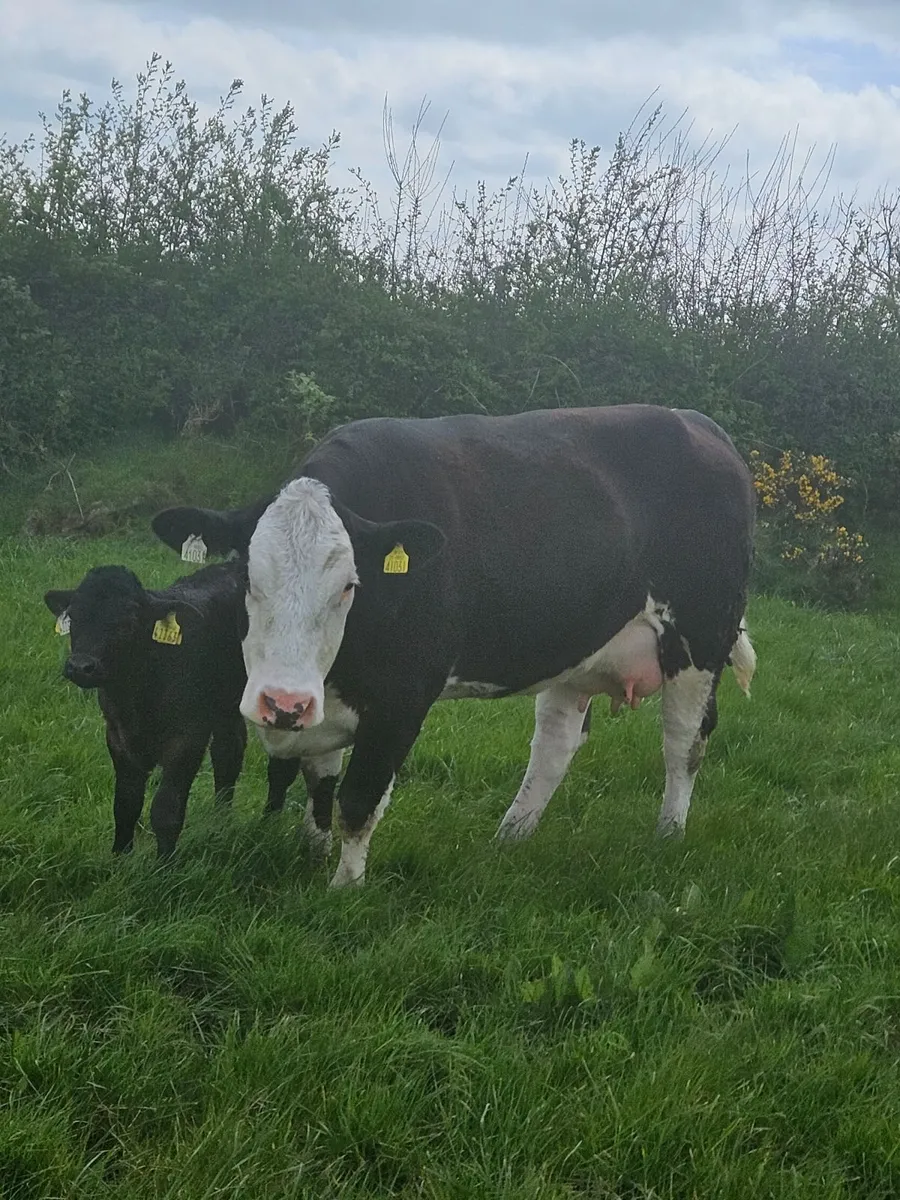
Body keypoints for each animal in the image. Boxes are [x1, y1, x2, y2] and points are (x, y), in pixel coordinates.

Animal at [43, 563, 317, 857]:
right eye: (73, 617)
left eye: (128, 621)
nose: (81, 666)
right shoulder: (118, 737)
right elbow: (125, 804)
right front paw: (119, 857)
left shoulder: (187, 739)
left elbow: (166, 810)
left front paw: (164, 864)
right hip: (225, 705)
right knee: (228, 756)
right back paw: (220, 822)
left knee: (281, 767)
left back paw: (268, 824)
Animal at [151, 404, 757, 887]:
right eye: (247, 576)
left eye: (348, 586)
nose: (282, 702)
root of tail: (700, 425)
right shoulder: (322, 701)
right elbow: (319, 782)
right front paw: (311, 852)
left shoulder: (403, 698)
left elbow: (358, 799)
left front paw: (343, 889)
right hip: (577, 646)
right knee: (556, 742)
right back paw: (510, 837)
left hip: (701, 637)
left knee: (684, 740)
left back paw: (668, 834)